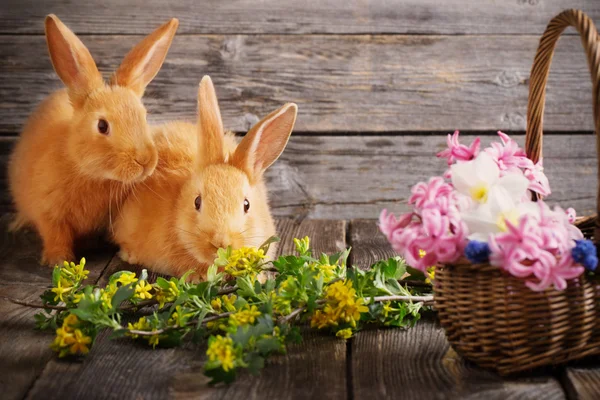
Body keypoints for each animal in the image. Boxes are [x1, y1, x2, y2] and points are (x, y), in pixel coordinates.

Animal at [8, 14, 178, 266]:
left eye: (144, 117)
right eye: (102, 126)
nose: (145, 161)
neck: (92, 174)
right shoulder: (49, 213)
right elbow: (55, 235)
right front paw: (58, 260)